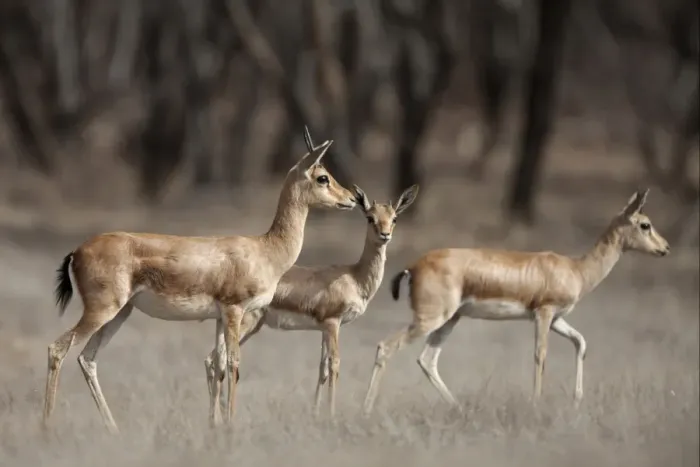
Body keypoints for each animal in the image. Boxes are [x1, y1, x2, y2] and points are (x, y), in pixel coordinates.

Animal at [44, 128, 358, 433]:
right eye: (322, 177)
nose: (352, 199)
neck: (266, 249)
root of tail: (77, 251)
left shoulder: (219, 317)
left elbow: (217, 363)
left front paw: (216, 425)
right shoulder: (234, 310)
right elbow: (233, 363)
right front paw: (231, 424)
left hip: (120, 313)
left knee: (87, 358)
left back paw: (113, 428)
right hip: (102, 310)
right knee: (57, 349)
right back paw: (46, 427)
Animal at [205, 184, 419, 418]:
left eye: (394, 218)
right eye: (370, 217)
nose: (385, 234)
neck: (354, 277)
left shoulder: (325, 328)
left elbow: (322, 368)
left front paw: (316, 415)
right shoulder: (333, 323)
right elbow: (334, 364)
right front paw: (331, 416)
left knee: (216, 360)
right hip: (245, 324)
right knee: (214, 360)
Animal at [362, 189, 670, 415]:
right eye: (645, 224)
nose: (665, 248)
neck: (576, 269)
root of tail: (413, 266)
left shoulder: (557, 319)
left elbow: (580, 342)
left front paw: (576, 400)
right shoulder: (544, 314)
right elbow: (540, 355)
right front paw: (536, 404)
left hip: (450, 320)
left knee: (427, 360)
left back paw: (459, 408)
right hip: (430, 320)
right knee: (385, 347)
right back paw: (367, 410)